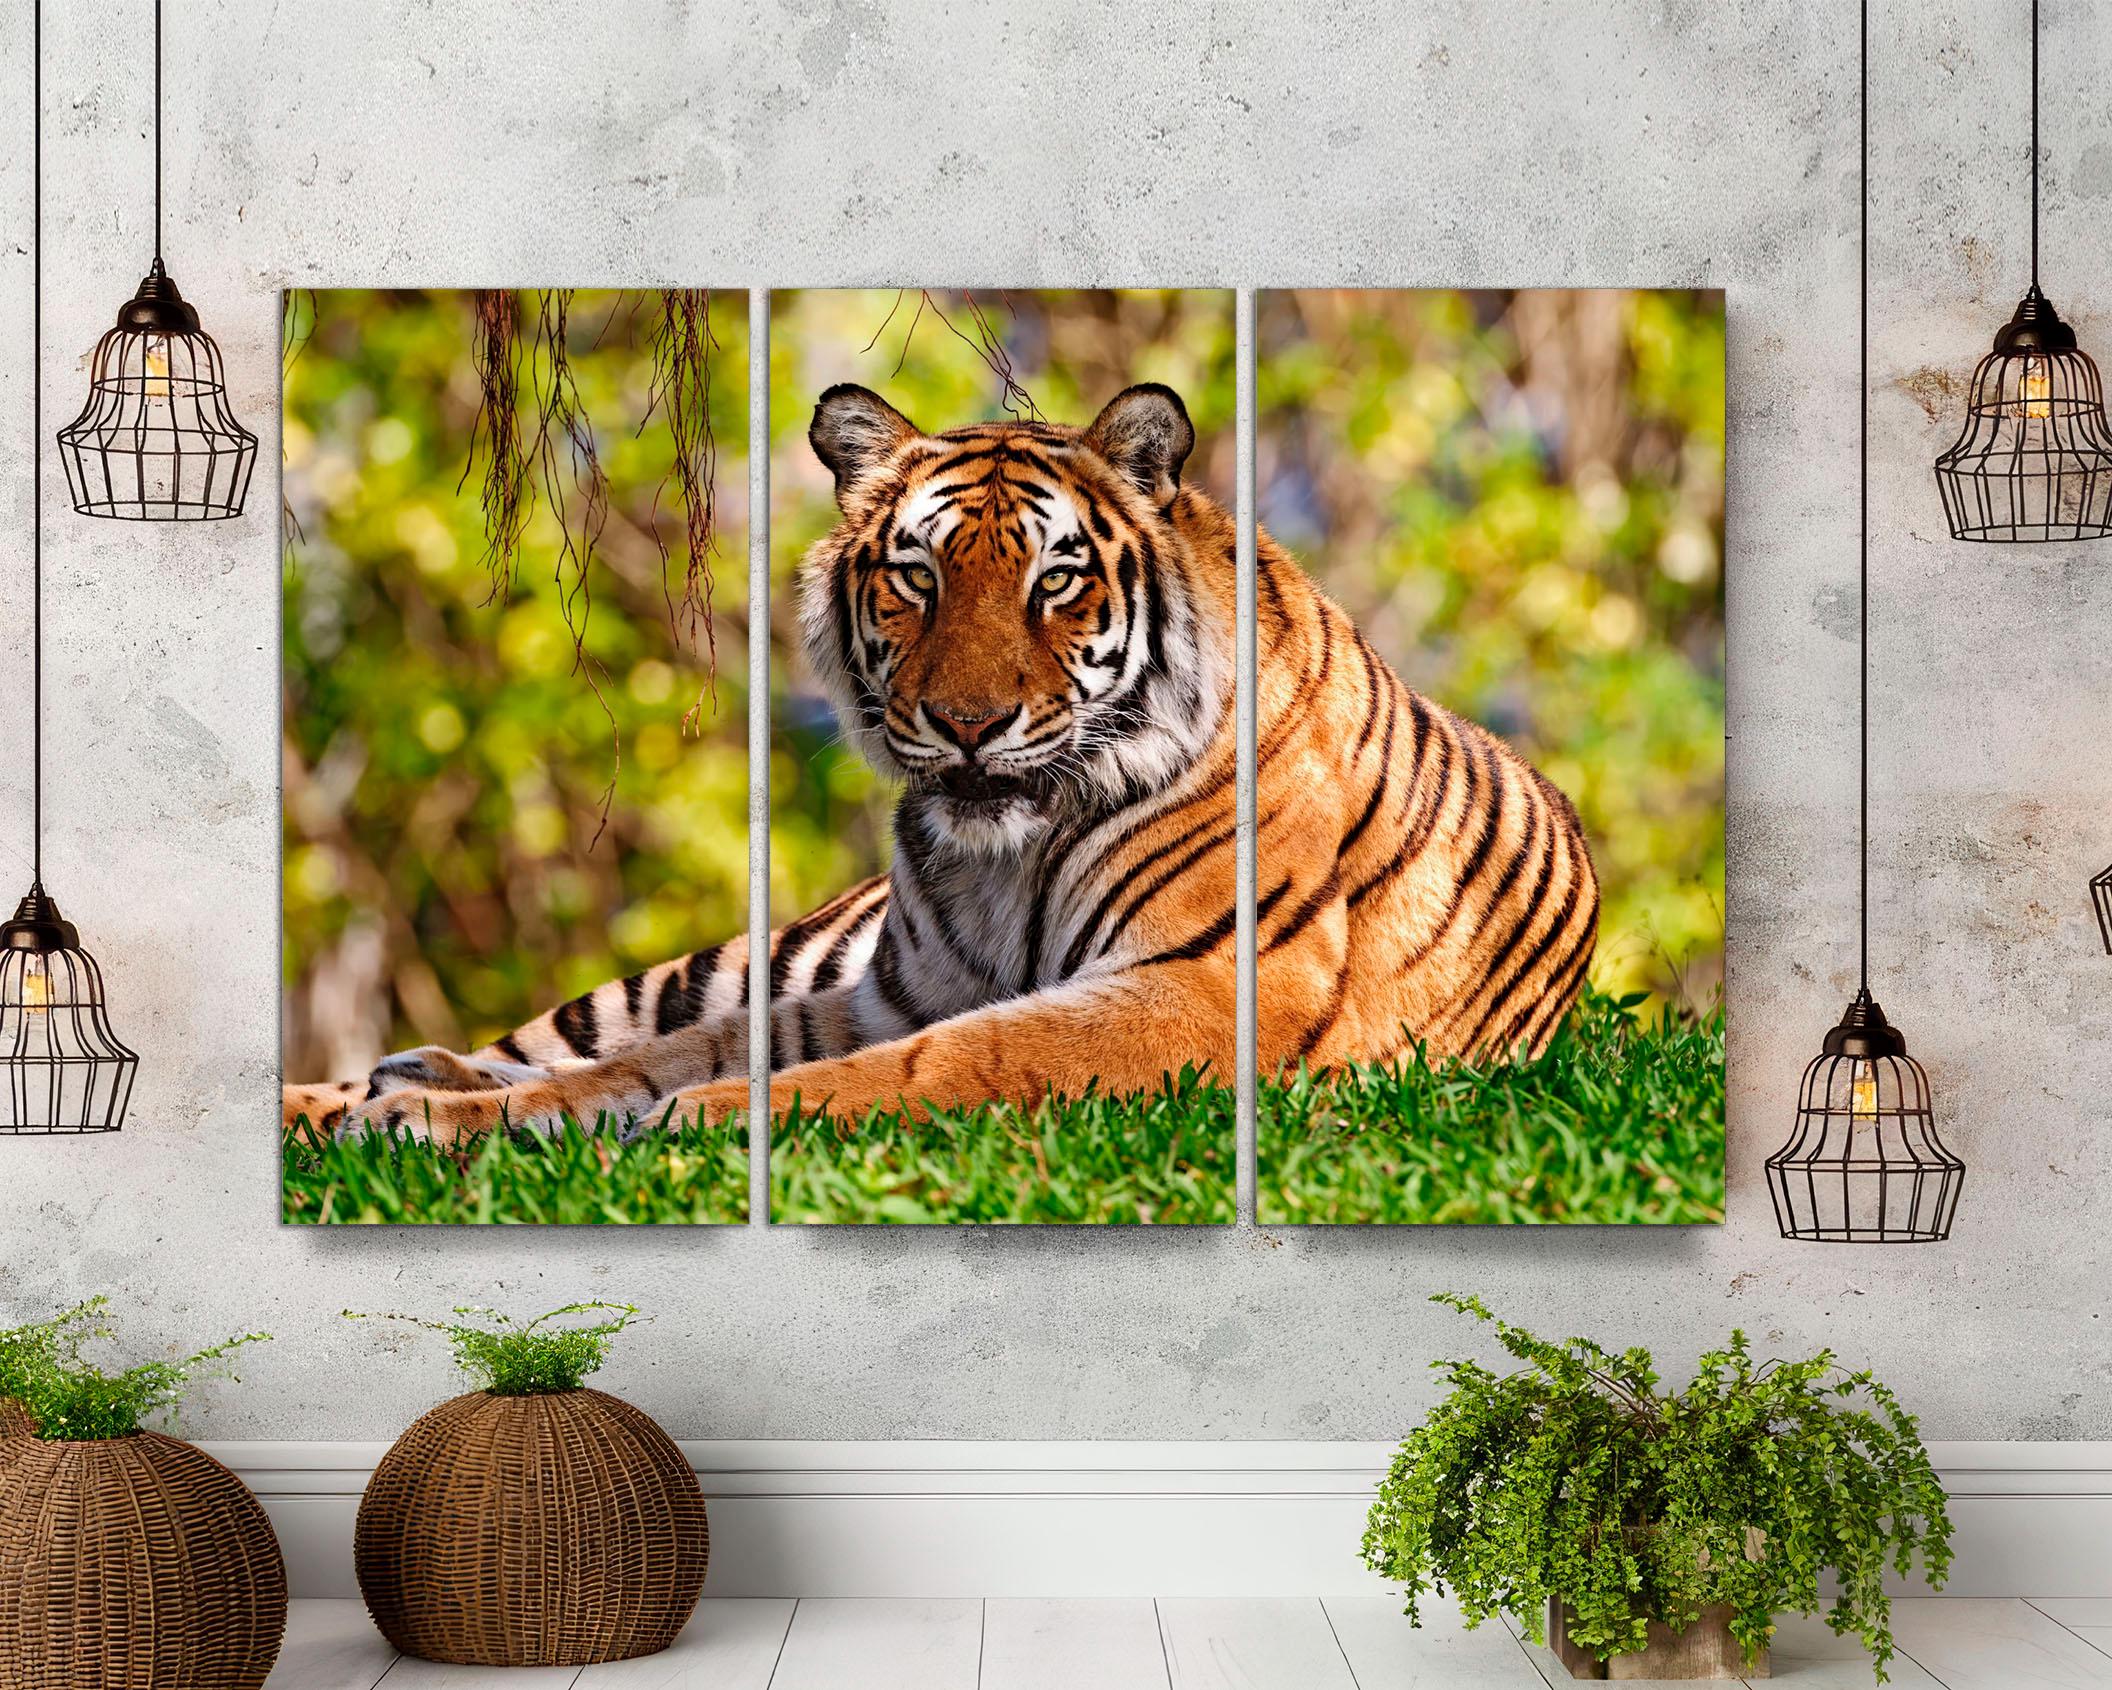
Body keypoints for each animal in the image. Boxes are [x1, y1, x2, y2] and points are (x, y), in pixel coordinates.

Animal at [281, 381, 1598, 1147]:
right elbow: (660, 1056)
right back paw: (369, 1088)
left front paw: (691, 1122)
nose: (967, 722)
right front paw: (439, 1117)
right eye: (916, 576)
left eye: (1056, 578)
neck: (1004, 858)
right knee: (553, 1038)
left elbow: (944, 1060)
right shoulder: (884, 989)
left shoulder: (1201, 989)